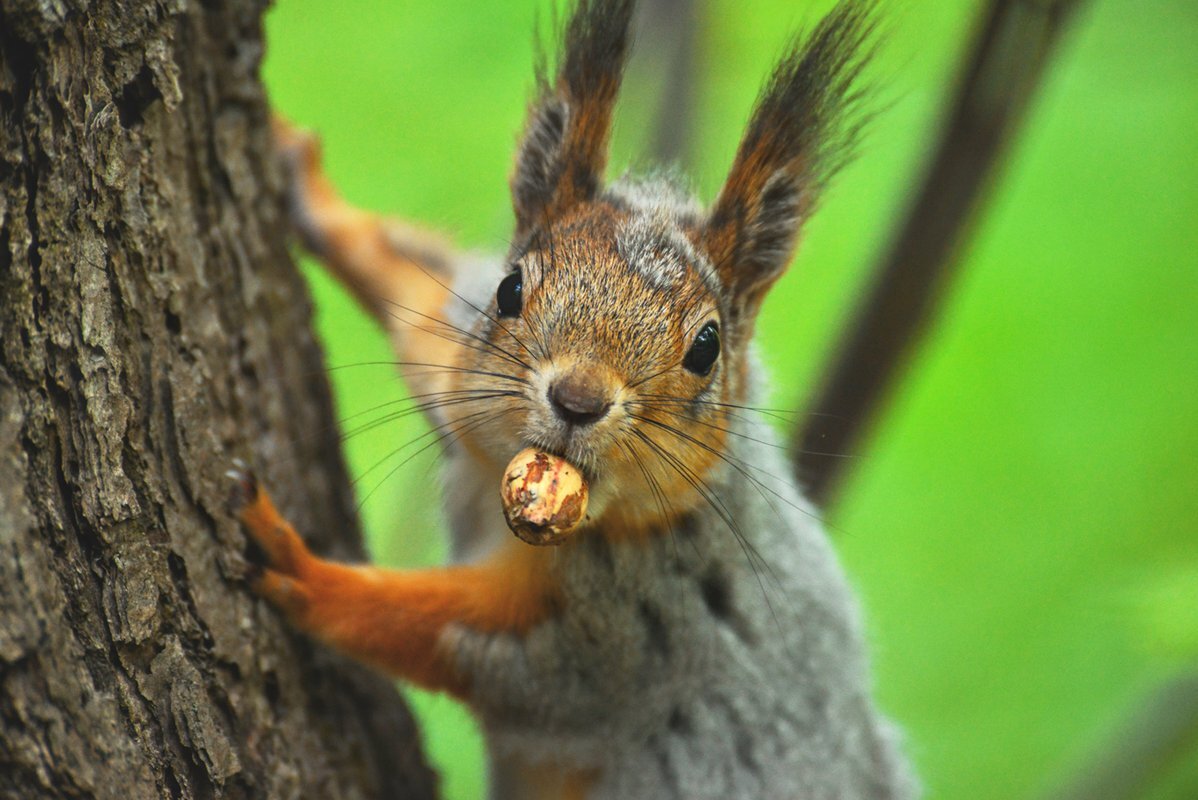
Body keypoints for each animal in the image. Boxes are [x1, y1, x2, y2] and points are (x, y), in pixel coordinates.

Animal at [226, 0, 915, 795]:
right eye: (509, 289)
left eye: (707, 348)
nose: (578, 400)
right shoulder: (464, 376)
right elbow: (420, 302)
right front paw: (308, 186)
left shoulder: (628, 635)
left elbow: (455, 641)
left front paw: (298, 566)